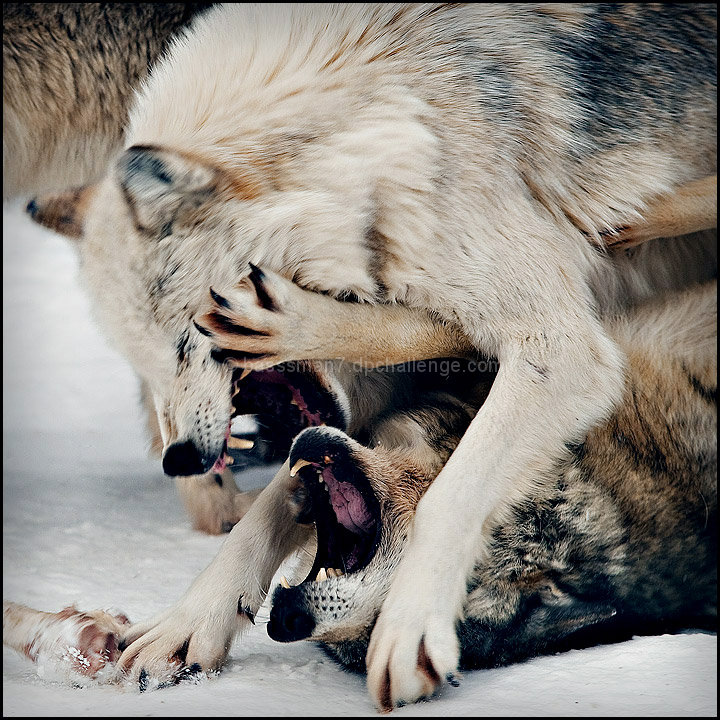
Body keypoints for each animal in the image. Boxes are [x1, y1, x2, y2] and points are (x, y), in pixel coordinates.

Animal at [22, 3, 716, 709]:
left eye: (188, 341)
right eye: (147, 363)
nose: (179, 460)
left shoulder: (562, 351)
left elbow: (447, 494)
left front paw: (409, 628)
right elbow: (276, 504)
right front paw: (191, 625)